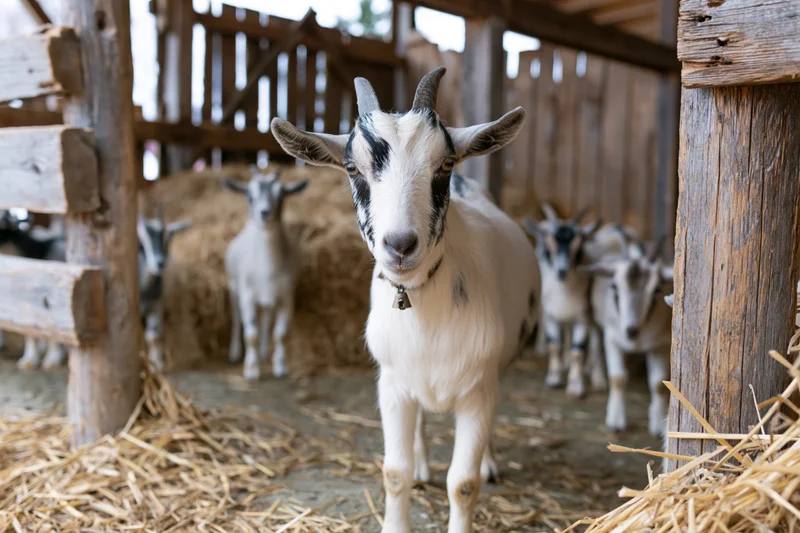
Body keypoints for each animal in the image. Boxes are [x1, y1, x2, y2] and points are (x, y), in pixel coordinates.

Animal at [137, 209, 192, 372]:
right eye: (142, 243)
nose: (159, 262)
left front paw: (157, 366)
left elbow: (153, 336)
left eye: (167, 240)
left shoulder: (157, 306)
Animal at [224, 169, 308, 380]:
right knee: (236, 317)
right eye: (249, 196)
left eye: (282, 195)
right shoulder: (247, 295)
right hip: (233, 286)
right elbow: (250, 333)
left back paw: (263, 351)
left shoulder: (286, 296)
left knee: (267, 316)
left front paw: (280, 367)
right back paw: (234, 352)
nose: (264, 213)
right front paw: (252, 370)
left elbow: (280, 334)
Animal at [271, 68, 538, 533]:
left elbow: (463, 483)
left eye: (445, 164)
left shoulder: (478, 389)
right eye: (352, 167)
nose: (399, 244)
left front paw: (475, 476)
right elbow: (394, 472)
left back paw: (489, 462)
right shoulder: (393, 385)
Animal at [523, 204, 605, 397]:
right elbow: (554, 345)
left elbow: (578, 350)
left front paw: (575, 386)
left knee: (596, 342)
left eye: (578, 247)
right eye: (550, 244)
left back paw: (598, 379)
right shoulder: (551, 315)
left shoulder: (582, 317)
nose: (562, 271)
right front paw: (554, 378)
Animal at [585, 232, 673, 437]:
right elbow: (618, 378)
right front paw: (615, 421)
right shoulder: (612, 338)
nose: (631, 330)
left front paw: (657, 424)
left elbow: (658, 385)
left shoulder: (661, 345)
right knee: (595, 341)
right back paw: (598, 378)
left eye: (657, 289)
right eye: (614, 287)